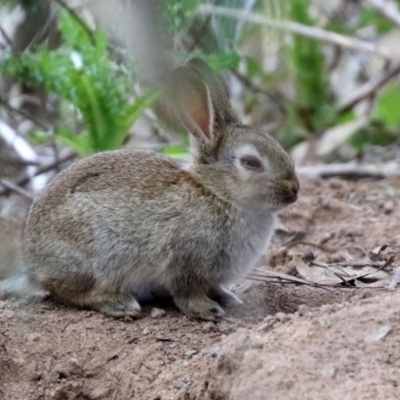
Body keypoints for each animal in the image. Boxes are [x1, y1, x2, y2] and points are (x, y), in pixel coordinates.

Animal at [1, 57, 298, 320]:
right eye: (250, 162)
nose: (294, 190)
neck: (217, 193)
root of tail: (34, 265)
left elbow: (216, 288)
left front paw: (230, 299)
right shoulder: (185, 262)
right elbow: (187, 292)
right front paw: (206, 310)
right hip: (89, 256)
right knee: (69, 292)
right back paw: (119, 304)